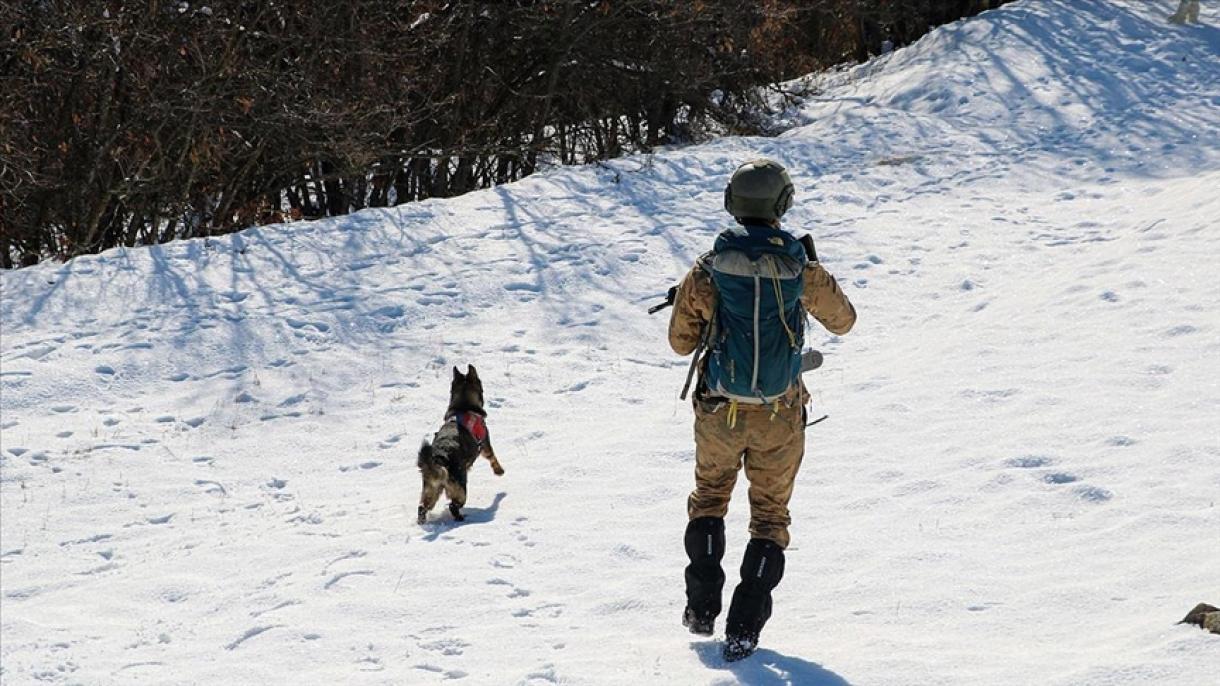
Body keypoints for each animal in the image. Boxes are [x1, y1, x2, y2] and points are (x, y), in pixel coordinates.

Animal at [414, 366, 500, 519]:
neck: (464, 405)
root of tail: (439, 459)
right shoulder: (485, 444)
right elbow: (493, 458)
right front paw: (499, 471)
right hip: (460, 488)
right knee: (453, 506)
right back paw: (461, 518)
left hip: (431, 489)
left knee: (422, 507)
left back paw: (422, 520)